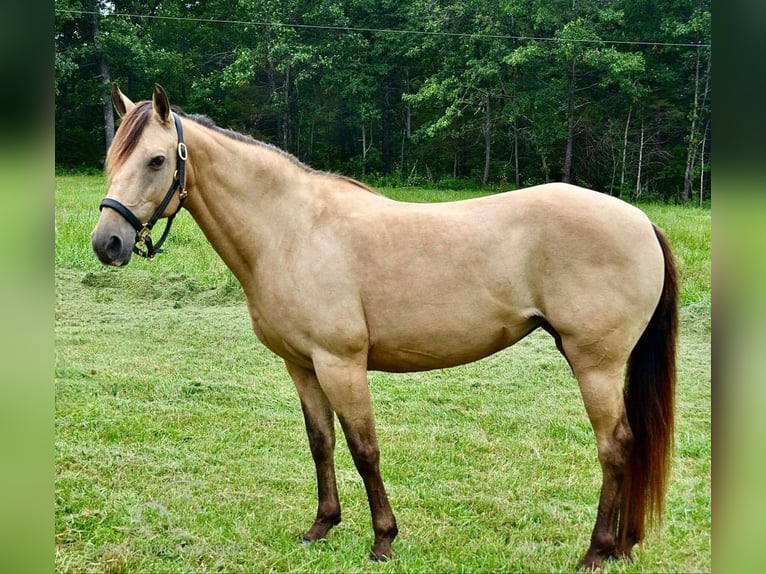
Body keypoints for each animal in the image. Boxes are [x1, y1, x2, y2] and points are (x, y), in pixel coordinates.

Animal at [88, 84, 680, 572]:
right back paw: (624, 545)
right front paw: (321, 527)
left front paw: (383, 541)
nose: (107, 243)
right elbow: (321, 443)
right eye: (113, 158)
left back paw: (598, 552)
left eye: (157, 159)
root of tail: (639, 219)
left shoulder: (341, 364)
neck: (293, 231)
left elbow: (364, 448)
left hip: (595, 364)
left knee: (616, 446)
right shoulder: (302, 365)